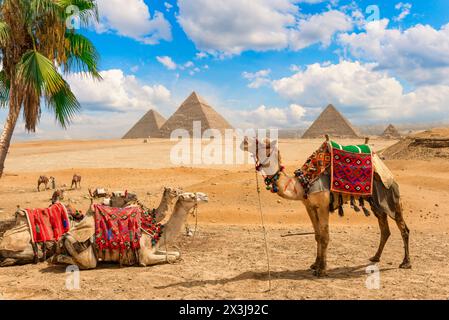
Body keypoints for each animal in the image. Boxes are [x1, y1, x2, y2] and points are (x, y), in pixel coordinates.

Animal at [53, 192, 208, 270]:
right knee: (87, 263)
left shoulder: (154, 248)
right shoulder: (145, 255)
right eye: (191, 196)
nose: (206, 196)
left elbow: (176, 254)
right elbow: (167, 257)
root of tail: (65, 236)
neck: (157, 232)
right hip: (84, 252)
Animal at [240, 136, 412, 276]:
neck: (302, 183)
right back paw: (375, 257)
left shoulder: (323, 206)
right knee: (385, 229)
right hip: (376, 202)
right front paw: (315, 264)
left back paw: (405, 263)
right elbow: (317, 235)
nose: (245, 141)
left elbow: (324, 236)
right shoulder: (309, 206)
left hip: (390, 195)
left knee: (403, 228)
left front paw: (322, 270)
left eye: (264, 143)